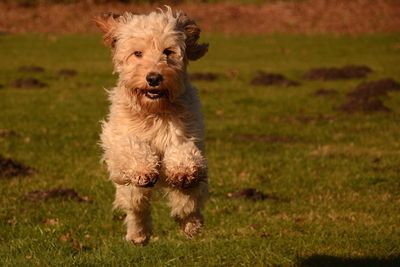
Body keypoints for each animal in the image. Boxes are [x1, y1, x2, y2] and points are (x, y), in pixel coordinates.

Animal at [94, 6, 209, 246]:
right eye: (138, 53)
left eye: (168, 52)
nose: (154, 78)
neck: (154, 112)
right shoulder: (120, 139)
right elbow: (132, 146)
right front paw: (144, 168)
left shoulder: (187, 135)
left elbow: (183, 151)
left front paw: (183, 170)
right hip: (131, 191)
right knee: (138, 209)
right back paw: (138, 235)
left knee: (188, 203)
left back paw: (191, 224)